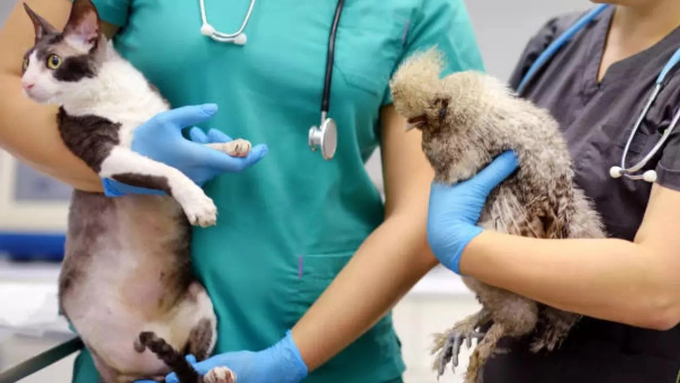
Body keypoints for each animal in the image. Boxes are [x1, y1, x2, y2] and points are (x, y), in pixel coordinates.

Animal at [19, 1, 243, 382]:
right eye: (24, 63)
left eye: (53, 62)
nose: (25, 83)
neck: (110, 93)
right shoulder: (107, 157)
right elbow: (171, 168)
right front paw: (197, 201)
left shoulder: (166, 128)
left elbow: (197, 147)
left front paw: (230, 148)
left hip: (201, 301)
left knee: (192, 361)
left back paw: (215, 372)